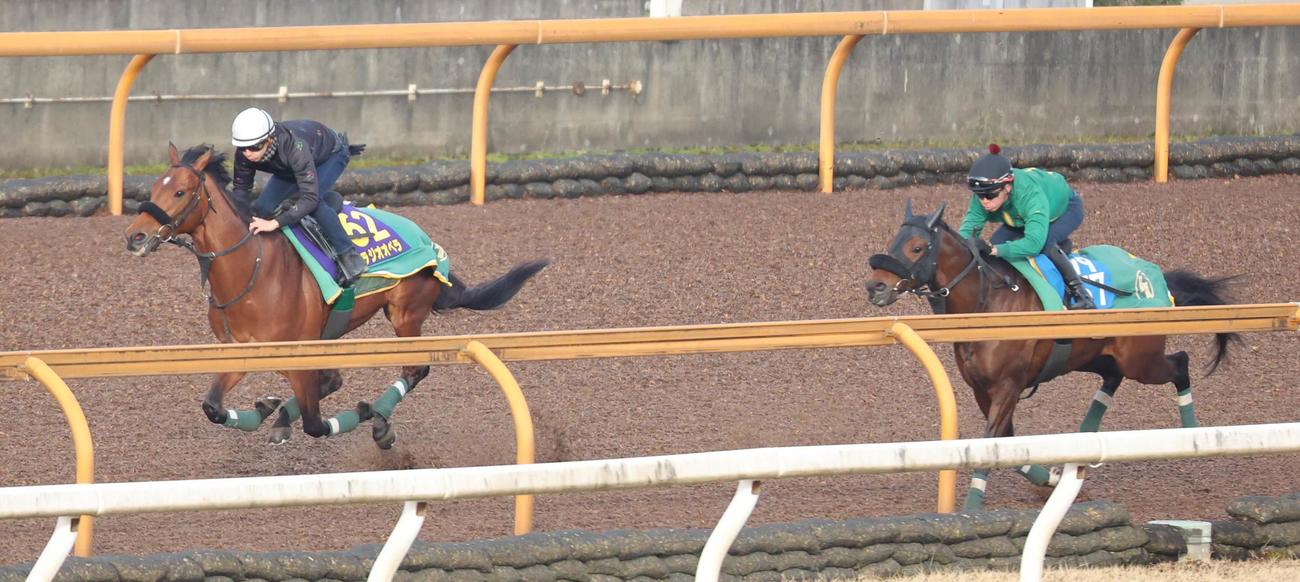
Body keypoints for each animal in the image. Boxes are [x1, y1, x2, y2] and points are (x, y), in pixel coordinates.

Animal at [124, 143, 548, 448]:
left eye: (180, 191)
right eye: (153, 188)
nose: (135, 236)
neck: (253, 269)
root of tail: (431, 243)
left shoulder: (299, 355)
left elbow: (316, 424)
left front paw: (364, 416)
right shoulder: (241, 349)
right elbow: (213, 407)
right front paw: (265, 411)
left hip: (405, 314)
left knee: (414, 370)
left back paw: (377, 419)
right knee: (336, 380)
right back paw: (278, 412)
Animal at [863, 201, 1236, 511]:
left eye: (916, 247)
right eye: (894, 241)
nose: (874, 287)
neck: (989, 304)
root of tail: (1152, 277)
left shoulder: (1008, 386)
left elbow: (991, 442)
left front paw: (970, 507)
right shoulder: (983, 389)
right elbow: (1007, 444)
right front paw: (1052, 479)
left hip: (1141, 360)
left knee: (1180, 363)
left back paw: (1191, 433)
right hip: (1092, 354)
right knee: (1113, 376)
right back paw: (1085, 444)